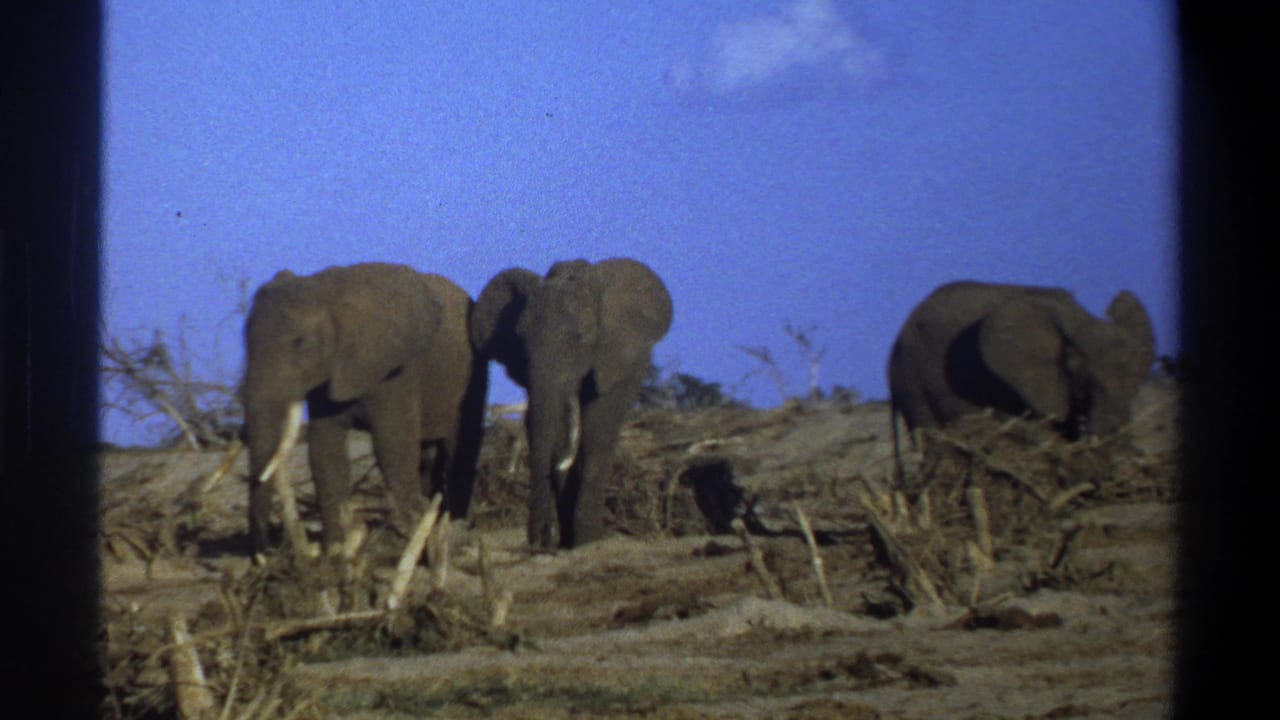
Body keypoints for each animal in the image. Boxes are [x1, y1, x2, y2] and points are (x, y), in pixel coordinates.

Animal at [242, 262, 488, 559]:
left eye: (299, 342)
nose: (266, 553)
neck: (327, 293)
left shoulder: (396, 370)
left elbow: (392, 445)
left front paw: (402, 543)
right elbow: (325, 450)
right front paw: (335, 551)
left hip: (474, 369)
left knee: (458, 443)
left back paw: (454, 529)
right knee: (427, 455)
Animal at [471, 258, 673, 549]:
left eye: (581, 337)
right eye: (520, 339)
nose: (539, 541)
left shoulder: (622, 360)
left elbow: (597, 429)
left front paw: (585, 541)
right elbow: (553, 431)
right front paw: (561, 539)